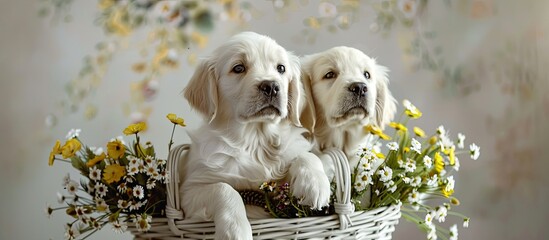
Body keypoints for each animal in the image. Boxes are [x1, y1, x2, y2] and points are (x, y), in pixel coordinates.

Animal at [180, 32, 328, 240]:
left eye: (281, 68)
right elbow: (223, 188)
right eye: (238, 68)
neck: (256, 139)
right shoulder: (188, 192)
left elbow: (307, 156)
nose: (272, 86)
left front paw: (315, 185)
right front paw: (236, 230)